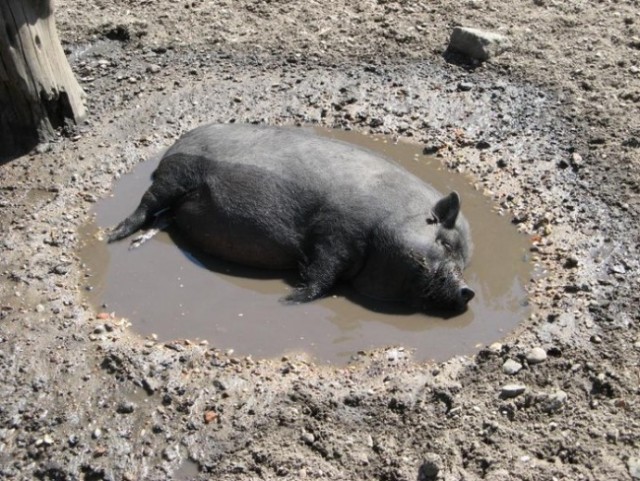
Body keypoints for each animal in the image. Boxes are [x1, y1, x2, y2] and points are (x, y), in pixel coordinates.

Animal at [106, 124, 476, 312]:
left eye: (464, 260)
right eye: (444, 243)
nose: (468, 290)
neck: (389, 217)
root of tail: (176, 144)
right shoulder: (336, 232)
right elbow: (322, 275)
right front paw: (287, 300)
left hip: (179, 200)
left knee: (164, 218)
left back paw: (133, 244)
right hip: (175, 174)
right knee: (146, 205)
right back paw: (112, 236)